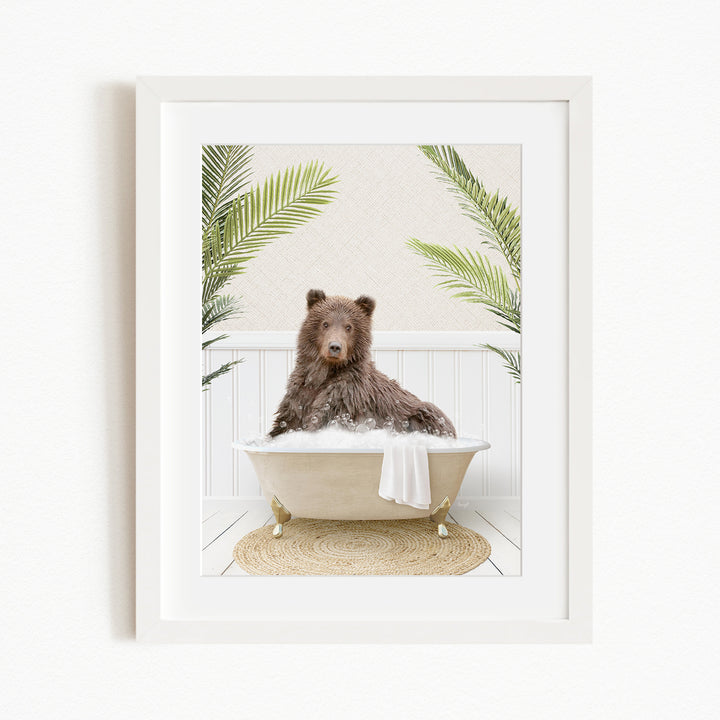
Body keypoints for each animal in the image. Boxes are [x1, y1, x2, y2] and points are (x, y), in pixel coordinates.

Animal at [268, 289, 456, 438]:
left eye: (349, 326)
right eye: (325, 323)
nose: (335, 347)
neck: (324, 373)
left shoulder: (345, 397)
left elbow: (323, 418)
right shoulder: (299, 394)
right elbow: (285, 423)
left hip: (422, 414)